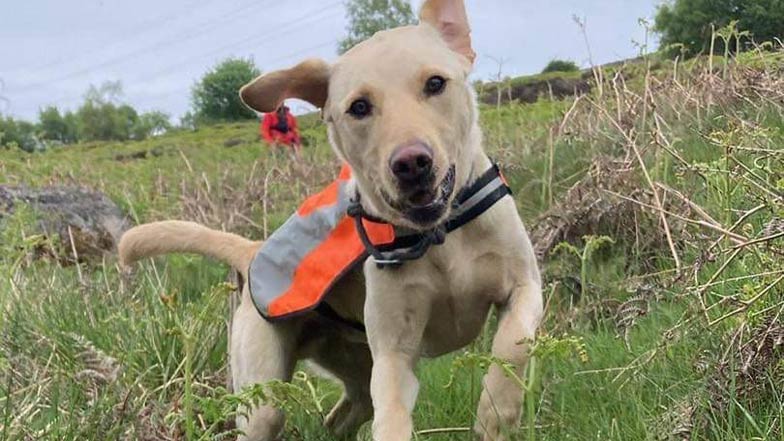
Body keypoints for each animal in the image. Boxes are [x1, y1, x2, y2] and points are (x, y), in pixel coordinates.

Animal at [119, 1, 544, 438]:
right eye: (359, 107)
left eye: (435, 83)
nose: (411, 163)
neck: (438, 237)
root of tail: (253, 251)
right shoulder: (393, 354)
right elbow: (393, 417)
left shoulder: (525, 286)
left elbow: (512, 344)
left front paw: (496, 413)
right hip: (268, 393)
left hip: (355, 365)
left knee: (339, 417)